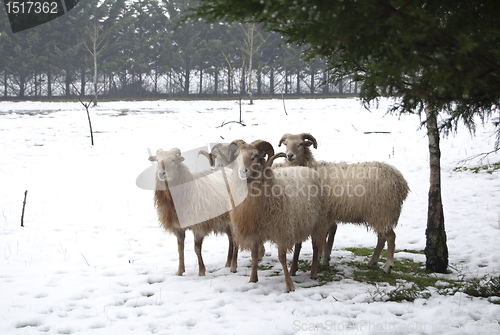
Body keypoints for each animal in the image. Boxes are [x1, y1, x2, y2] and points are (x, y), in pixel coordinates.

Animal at [148, 148, 238, 276]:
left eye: (173, 160)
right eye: (157, 160)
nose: (161, 174)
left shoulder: (198, 226)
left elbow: (196, 249)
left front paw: (201, 271)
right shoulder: (178, 228)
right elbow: (180, 249)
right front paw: (180, 271)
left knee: (236, 240)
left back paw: (233, 266)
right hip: (226, 220)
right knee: (231, 238)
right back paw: (228, 262)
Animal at [229, 140, 330, 292]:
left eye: (256, 156)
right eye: (237, 156)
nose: (242, 171)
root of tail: (307, 169)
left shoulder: (282, 229)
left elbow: (281, 257)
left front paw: (289, 286)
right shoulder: (254, 231)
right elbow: (254, 256)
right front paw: (253, 280)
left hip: (318, 221)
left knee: (315, 246)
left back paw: (313, 273)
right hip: (300, 222)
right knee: (298, 246)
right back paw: (293, 269)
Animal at [278, 134, 410, 276]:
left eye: (300, 144)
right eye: (286, 144)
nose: (289, 155)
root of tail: (401, 182)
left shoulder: (323, 215)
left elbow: (322, 239)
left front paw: (320, 259)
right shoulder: (327, 216)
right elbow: (325, 238)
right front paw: (324, 258)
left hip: (383, 211)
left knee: (390, 237)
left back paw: (388, 266)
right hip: (378, 214)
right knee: (382, 238)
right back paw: (372, 262)